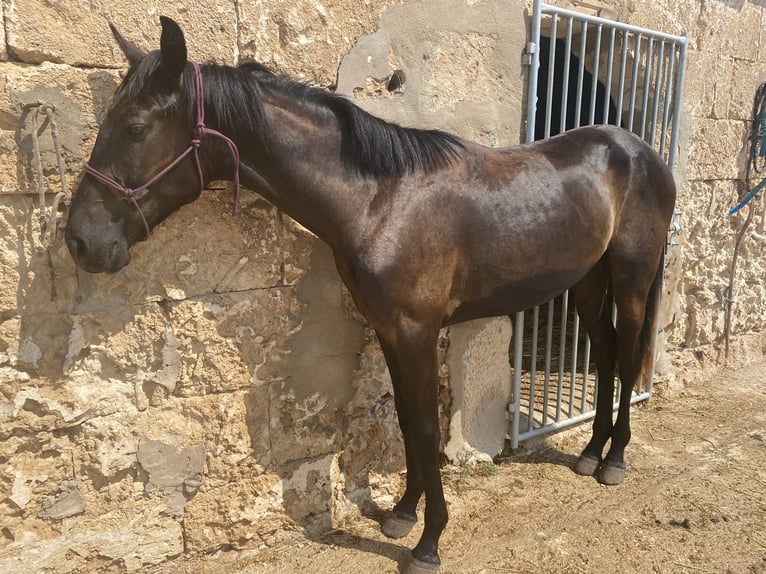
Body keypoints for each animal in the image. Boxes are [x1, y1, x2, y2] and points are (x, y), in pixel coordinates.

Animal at [65, 16, 676, 574]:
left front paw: (429, 542)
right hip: (588, 282)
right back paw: (591, 452)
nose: (80, 241)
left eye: (136, 128)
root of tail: (638, 149)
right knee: (604, 354)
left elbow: (426, 428)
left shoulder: (418, 332)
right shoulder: (386, 329)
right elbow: (404, 421)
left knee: (626, 357)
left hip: (631, 277)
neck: (379, 201)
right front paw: (402, 513)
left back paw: (614, 460)